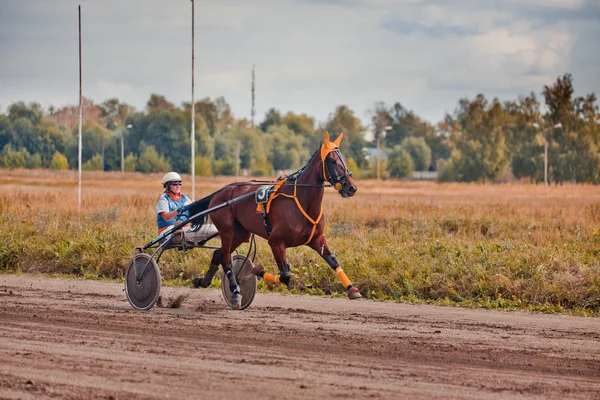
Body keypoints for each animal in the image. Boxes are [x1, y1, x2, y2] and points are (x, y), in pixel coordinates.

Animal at [188, 131, 360, 306]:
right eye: (332, 161)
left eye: (344, 160)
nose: (351, 187)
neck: (302, 201)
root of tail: (219, 192)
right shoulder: (276, 242)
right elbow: (285, 276)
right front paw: (256, 270)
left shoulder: (317, 239)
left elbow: (333, 261)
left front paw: (352, 289)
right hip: (227, 230)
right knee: (226, 259)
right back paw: (235, 292)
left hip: (240, 233)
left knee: (219, 254)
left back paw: (203, 281)